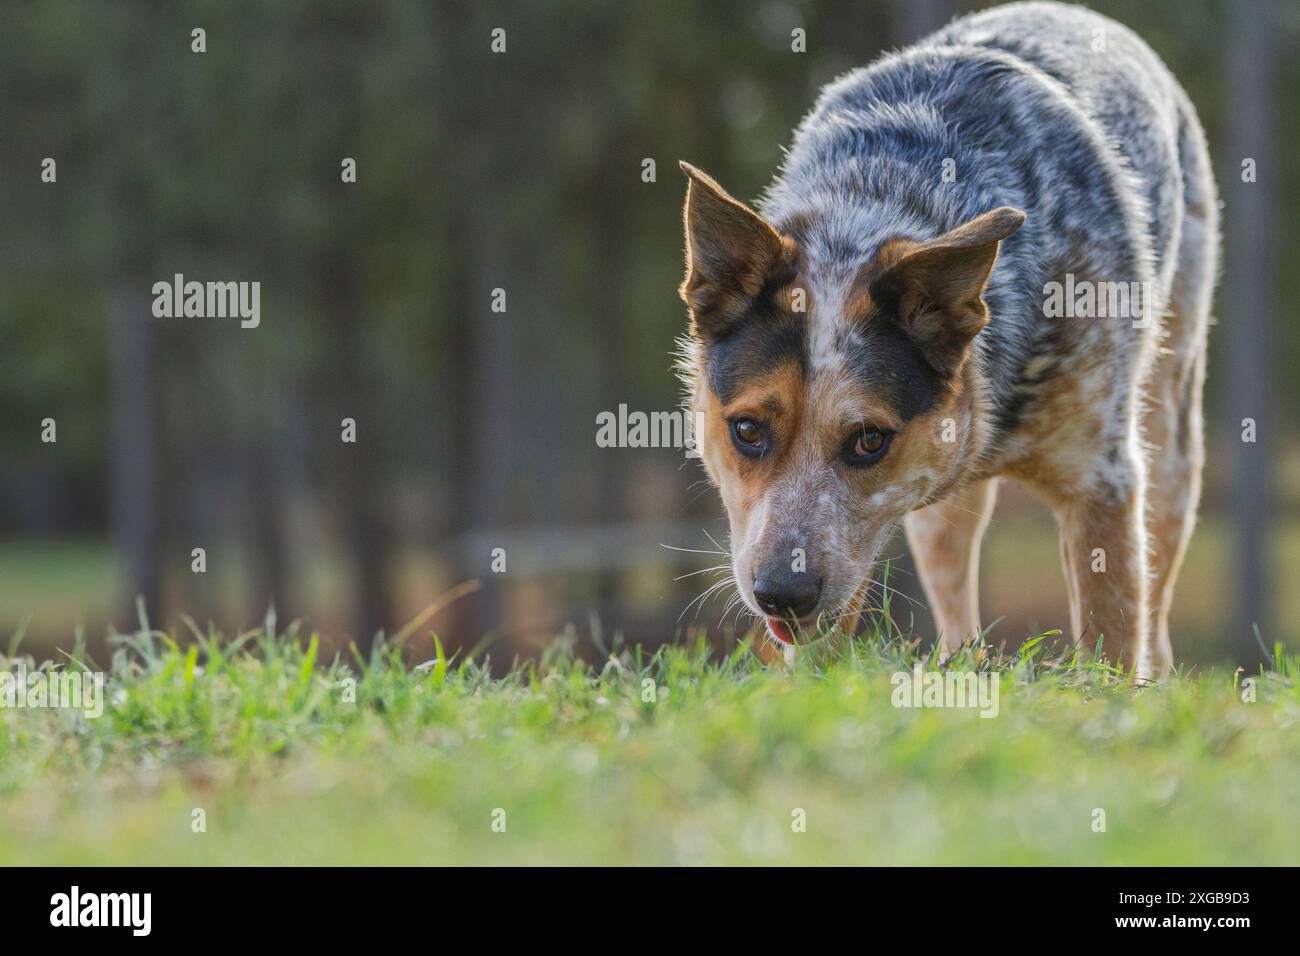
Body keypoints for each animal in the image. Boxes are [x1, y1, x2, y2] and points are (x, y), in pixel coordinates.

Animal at [681, 3, 1216, 686]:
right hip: (938, 520)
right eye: (746, 430)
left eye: (869, 440)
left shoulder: (1103, 479)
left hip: (1173, 443)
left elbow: (1113, 634)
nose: (782, 593)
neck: (880, 199)